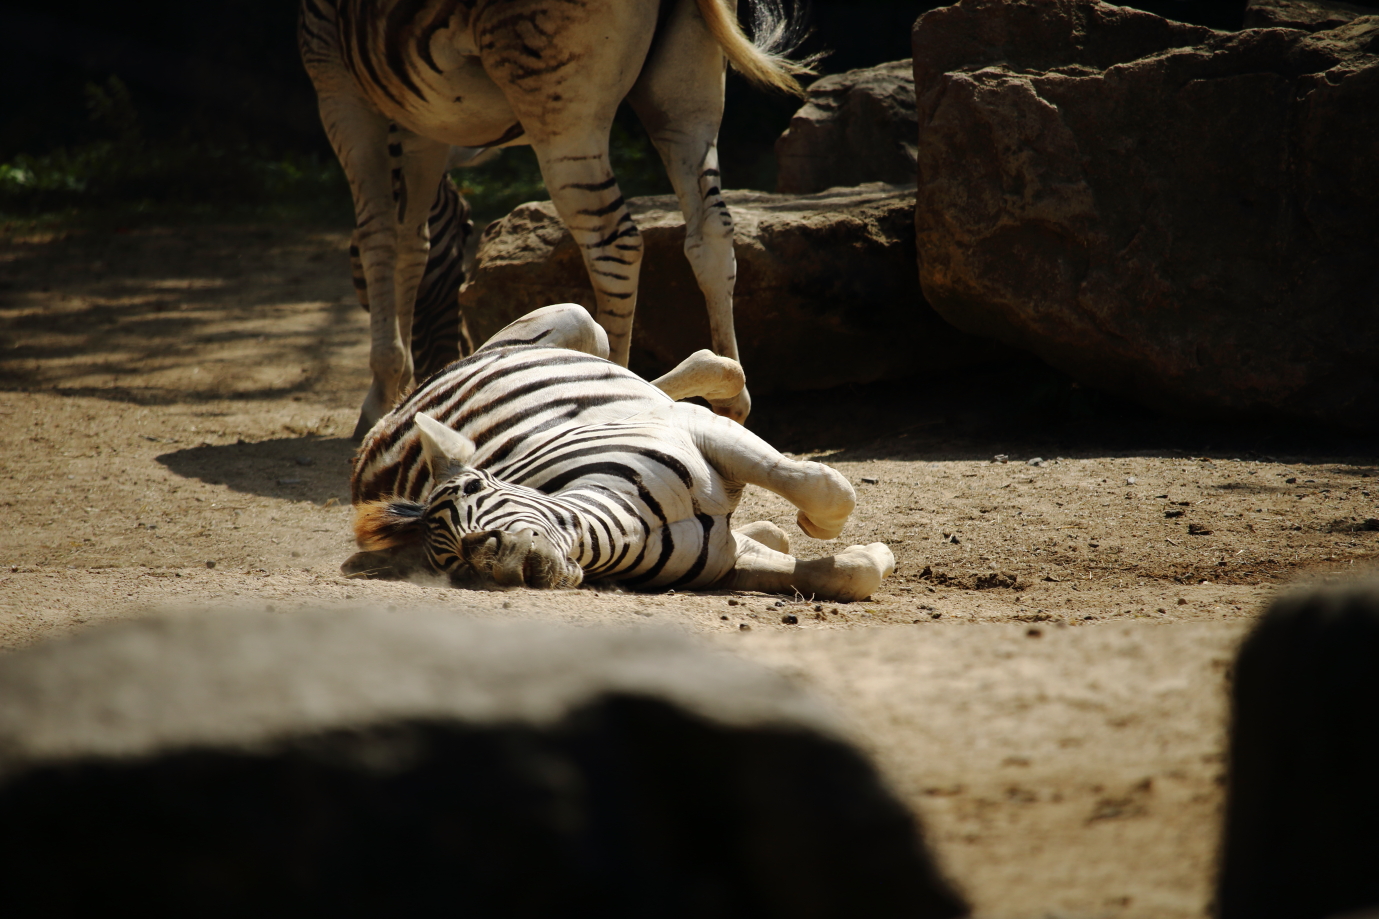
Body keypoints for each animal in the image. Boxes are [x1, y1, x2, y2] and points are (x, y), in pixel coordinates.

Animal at [299, 0, 813, 439]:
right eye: (466, 228)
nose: (444, 359)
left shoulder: (338, 86)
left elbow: (380, 236)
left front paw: (380, 394)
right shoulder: (421, 119)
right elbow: (413, 241)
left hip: (558, 104)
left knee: (614, 243)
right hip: (687, 96)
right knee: (711, 231)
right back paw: (732, 403)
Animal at [346, 304, 894, 602]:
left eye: (478, 486)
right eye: (454, 565)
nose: (499, 563)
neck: (633, 524)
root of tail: (384, 427)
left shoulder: (697, 430)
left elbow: (827, 487)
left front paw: (816, 525)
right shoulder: (728, 560)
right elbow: (849, 574)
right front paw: (873, 554)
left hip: (577, 326)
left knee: (686, 372)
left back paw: (727, 391)